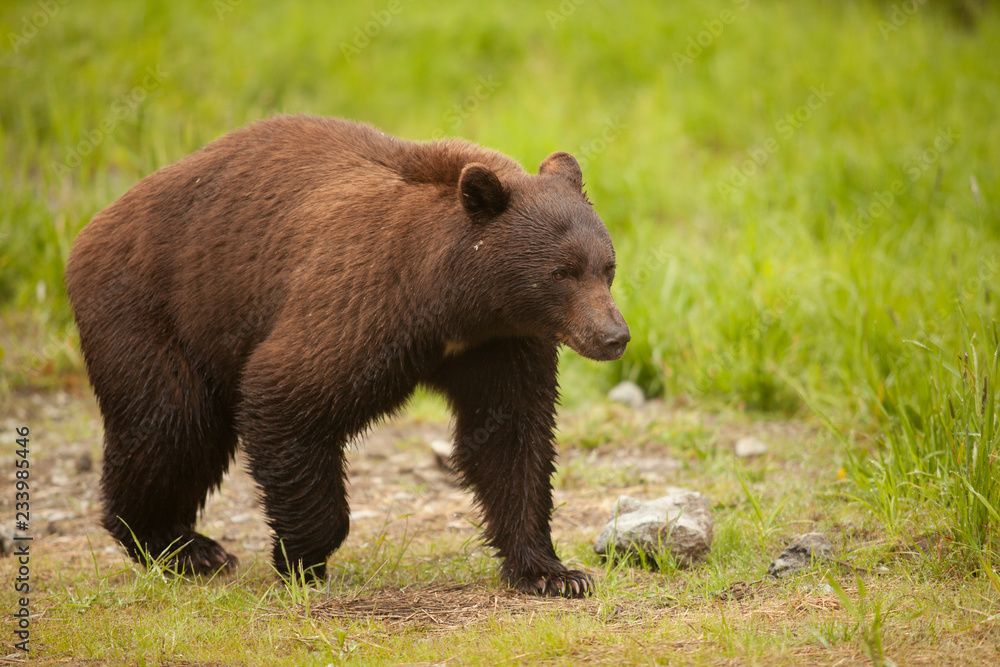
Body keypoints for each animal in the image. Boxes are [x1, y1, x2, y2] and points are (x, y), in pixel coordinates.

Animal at [62, 112, 628, 596]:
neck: (456, 302)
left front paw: (553, 573)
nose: (614, 335)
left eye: (607, 266)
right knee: (172, 423)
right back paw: (183, 547)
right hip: (153, 310)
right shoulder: (365, 302)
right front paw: (300, 557)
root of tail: (91, 228)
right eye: (561, 272)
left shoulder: (501, 344)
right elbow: (287, 392)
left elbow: (511, 438)